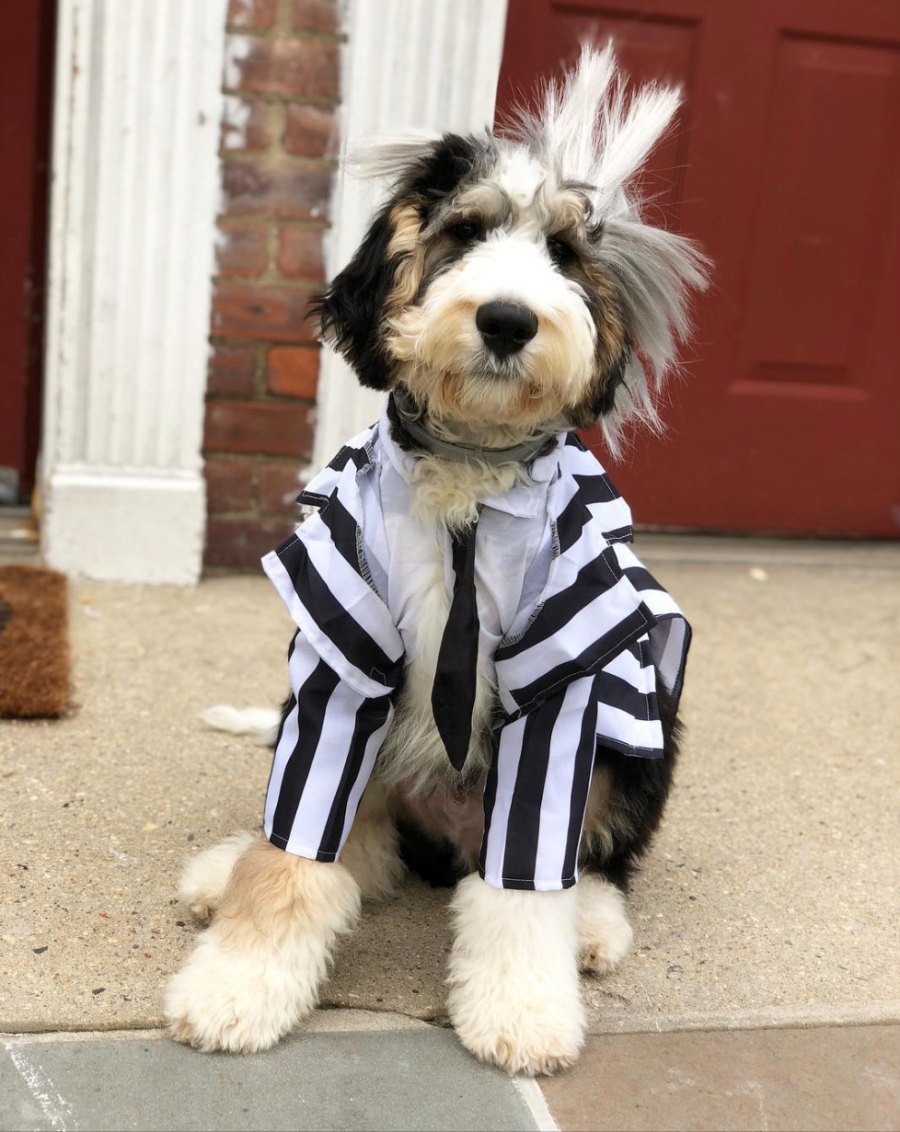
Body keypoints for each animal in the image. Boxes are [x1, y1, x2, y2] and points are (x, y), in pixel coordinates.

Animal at [165, 41, 706, 1068]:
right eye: (464, 231)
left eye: (564, 255)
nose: (507, 320)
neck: (467, 478)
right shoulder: (341, 655)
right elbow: (294, 849)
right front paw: (238, 987)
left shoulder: (560, 674)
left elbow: (527, 876)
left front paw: (522, 1009)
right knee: (354, 843)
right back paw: (226, 868)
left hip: (645, 715)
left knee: (589, 855)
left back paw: (592, 926)